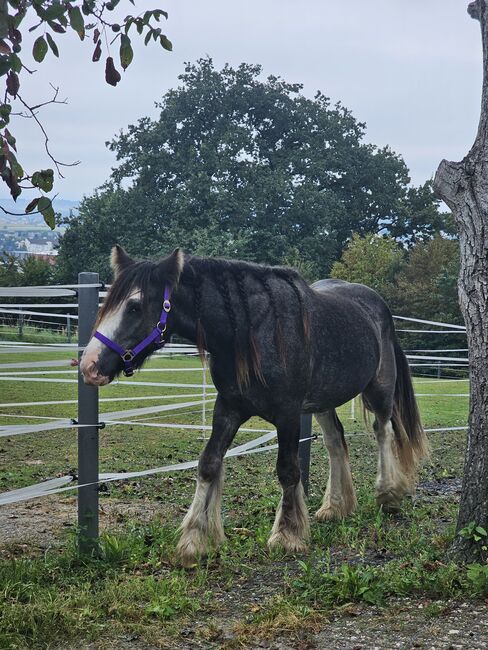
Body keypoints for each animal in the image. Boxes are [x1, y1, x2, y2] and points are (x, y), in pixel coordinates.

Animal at [80, 245, 428, 567]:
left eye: (134, 306)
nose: (89, 366)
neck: (252, 333)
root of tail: (377, 304)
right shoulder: (228, 408)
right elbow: (208, 463)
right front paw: (195, 539)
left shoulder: (288, 414)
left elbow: (288, 470)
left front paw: (287, 534)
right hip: (322, 401)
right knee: (335, 441)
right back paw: (335, 506)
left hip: (379, 389)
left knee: (383, 431)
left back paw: (388, 493)